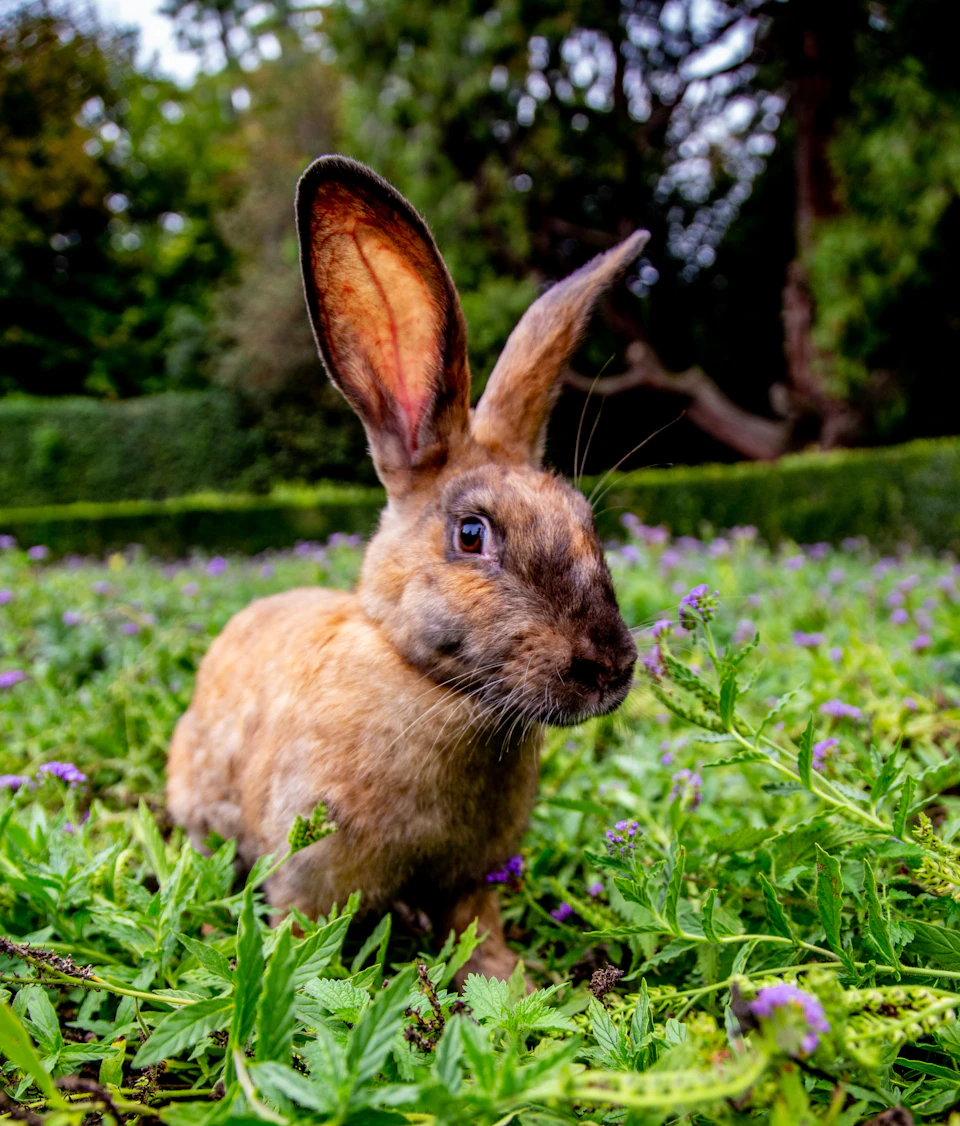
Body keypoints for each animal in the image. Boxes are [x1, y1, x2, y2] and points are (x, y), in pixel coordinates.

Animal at [167, 155, 647, 982]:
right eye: (472, 534)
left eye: (584, 523)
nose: (611, 667)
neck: (434, 685)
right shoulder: (310, 876)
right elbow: (304, 938)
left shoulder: (472, 878)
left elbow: (477, 929)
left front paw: (509, 980)